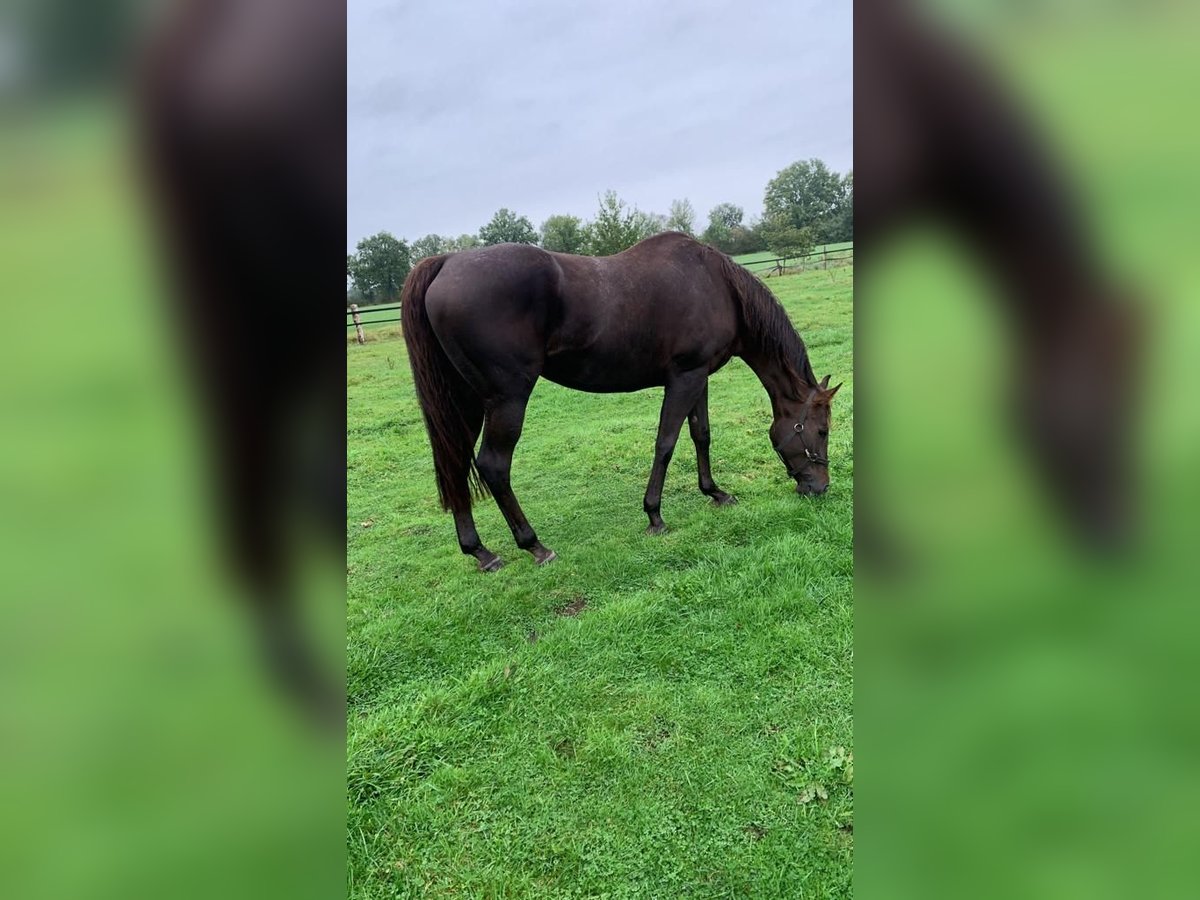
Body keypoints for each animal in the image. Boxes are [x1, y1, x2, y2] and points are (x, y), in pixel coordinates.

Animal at [398, 232, 840, 571]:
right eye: (821, 430)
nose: (819, 487)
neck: (717, 285)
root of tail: (446, 262)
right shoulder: (684, 378)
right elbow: (666, 443)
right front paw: (655, 516)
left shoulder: (699, 378)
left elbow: (701, 435)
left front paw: (715, 493)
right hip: (507, 400)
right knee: (493, 465)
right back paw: (535, 545)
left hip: (466, 401)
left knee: (455, 462)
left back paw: (481, 552)